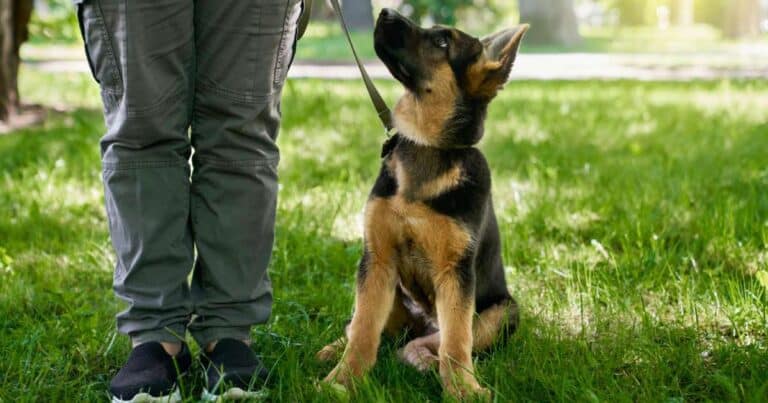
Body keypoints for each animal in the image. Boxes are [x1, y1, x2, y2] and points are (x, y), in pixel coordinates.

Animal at [316, 7, 528, 400]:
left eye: (442, 41)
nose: (385, 11)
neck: (427, 145)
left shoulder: (455, 273)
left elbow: (456, 342)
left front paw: (462, 389)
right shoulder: (377, 259)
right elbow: (364, 330)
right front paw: (342, 381)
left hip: (503, 311)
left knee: (438, 342)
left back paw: (424, 359)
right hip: (388, 291)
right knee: (370, 330)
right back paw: (335, 349)